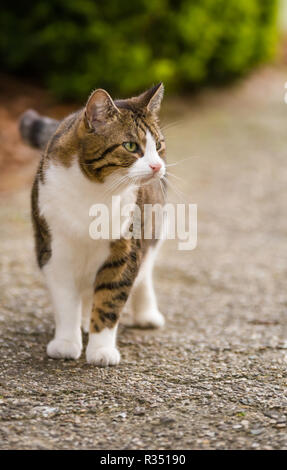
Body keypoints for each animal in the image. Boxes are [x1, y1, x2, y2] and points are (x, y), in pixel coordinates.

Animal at [19, 82, 166, 366]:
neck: (96, 192)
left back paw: (146, 314)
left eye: (159, 145)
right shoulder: (54, 249)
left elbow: (110, 299)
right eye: (131, 145)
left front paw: (101, 349)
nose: (157, 165)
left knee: (145, 274)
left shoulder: (125, 250)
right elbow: (66, 301)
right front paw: (66, 342)